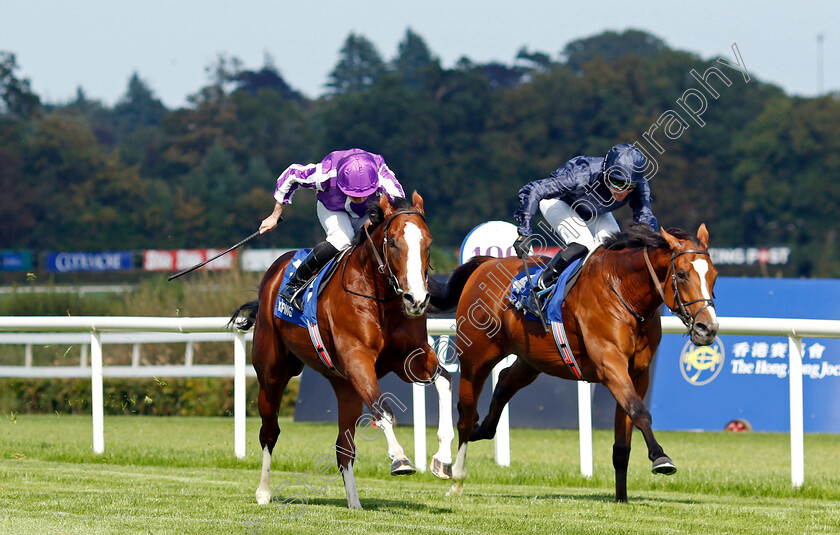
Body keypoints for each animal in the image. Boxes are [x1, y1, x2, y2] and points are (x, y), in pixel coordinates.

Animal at [230, 194, 452, 510]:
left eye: (428, 244)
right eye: (393, 242)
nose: (417, 299)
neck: (379, 297)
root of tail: (273, 274)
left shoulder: (410, 357)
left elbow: (445, 381)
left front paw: (442, 458)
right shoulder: (357, 358)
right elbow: (382, 408)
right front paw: (400, 458)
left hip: (345, 386)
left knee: (343, 447)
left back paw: (354, 503)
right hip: (272, 374)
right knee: (270, 432)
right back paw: (263, 492)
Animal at [436, 222, 720, 502]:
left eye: (714, 275)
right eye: (681, 274)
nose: (708, 328)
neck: (623, 292)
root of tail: (487, 263)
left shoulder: (638, 373)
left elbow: (624, 436)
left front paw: (621, 498)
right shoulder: (610, 364)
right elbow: (639, 411)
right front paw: (660, 458)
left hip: (532, 360)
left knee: (504, 382)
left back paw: (481, 430)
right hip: (475, 360)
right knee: (466, 412)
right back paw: (455, 476)